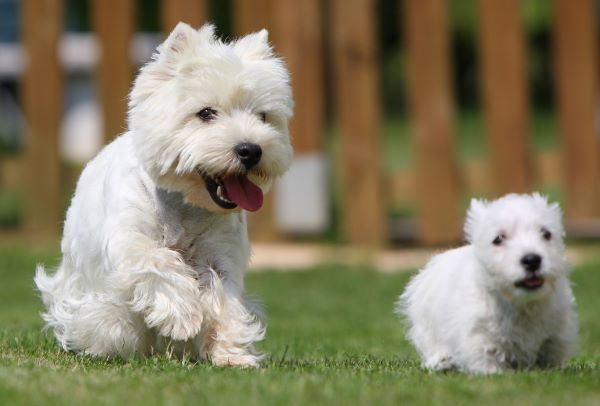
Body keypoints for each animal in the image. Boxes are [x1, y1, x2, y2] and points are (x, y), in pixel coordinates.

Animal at [35, 23, 292, 368]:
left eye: (263, 116)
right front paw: (183, 318)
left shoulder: (220, 254)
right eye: (205, 113)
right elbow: (158, 261)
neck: (184, 205)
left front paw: (232, 354)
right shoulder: (129, 240)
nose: (251, 150)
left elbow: (225, 300)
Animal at [398, 193, 576, 374]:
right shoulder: (478, 335)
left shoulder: (557, 332)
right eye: (498, 239)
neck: (520, 304)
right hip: (426, 323)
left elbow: (550, 356)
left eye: (546, 234)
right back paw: (442, 361)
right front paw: (495, 373)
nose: (532, 260)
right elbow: (487, 361)